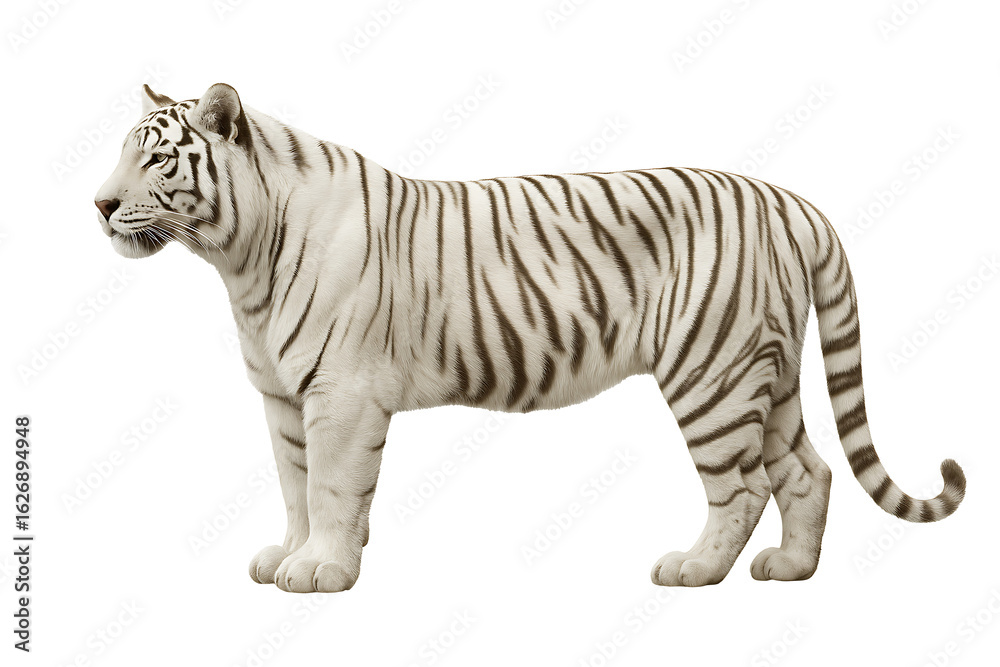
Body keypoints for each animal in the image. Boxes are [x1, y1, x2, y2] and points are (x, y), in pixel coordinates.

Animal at [95, 83, 965, 593]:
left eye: (159, 158)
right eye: (122, 151)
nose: (99, 204)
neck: (241, 260)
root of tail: (788, 199)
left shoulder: (340, 393)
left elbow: (332, 488)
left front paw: (322, 571)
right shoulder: (283, 397)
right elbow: (293, 484)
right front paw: (289, 556)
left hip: (710, 372)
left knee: (744, 485)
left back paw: (694, 567)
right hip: (765, 370)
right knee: (809, 471)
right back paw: (790, 568)